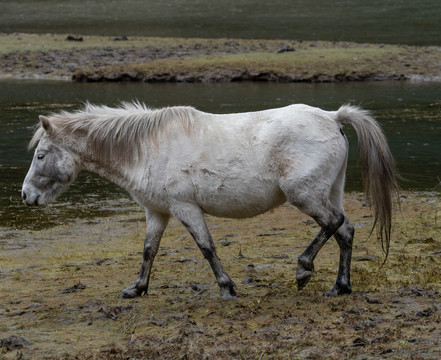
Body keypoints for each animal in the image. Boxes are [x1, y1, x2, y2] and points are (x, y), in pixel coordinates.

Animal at [22, 100, 398, 298]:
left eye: (40, 155)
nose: (26, 196)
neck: (147, 147)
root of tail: (333, 117)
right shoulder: (157, 212)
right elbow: (149, 250)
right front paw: (137, 289)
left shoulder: (185, 208)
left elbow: (206, 247)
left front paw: (227, 288)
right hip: (329, 193)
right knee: (345, 231)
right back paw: (340, 286)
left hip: (305, 197)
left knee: (334, 224)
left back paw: (304, 269)